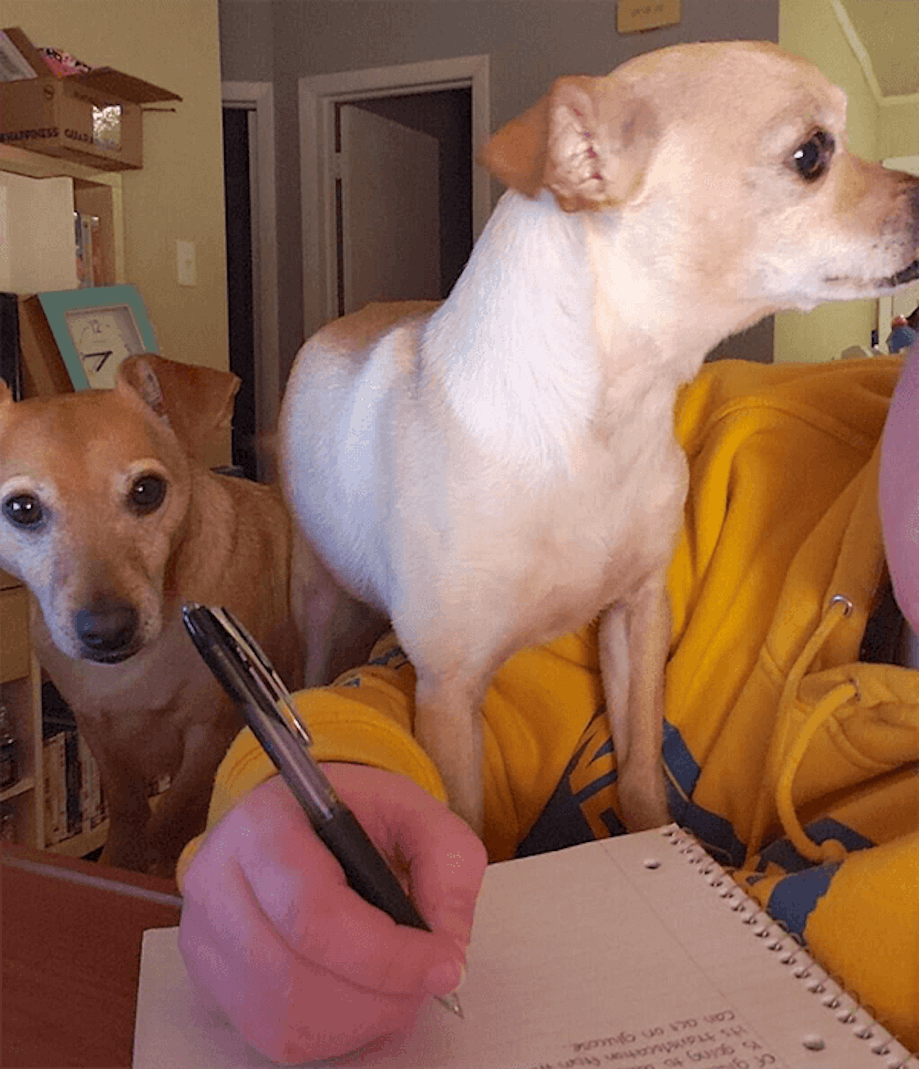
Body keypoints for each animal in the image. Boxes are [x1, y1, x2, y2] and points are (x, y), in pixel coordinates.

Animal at [0, 354, 307, 872]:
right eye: (21, 508)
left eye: (147, 491)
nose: (107, 631)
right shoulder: (100, 734)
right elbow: (129, 813)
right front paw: (120, 862)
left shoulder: (213, 735)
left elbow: (167, 823)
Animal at [277, 41, 919, 833]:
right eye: (811, 155)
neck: (601, 422)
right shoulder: (448, 694)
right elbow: (468, 824)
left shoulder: (635, 615)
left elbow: (640, 761)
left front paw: (654, 828)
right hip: (316, 594)